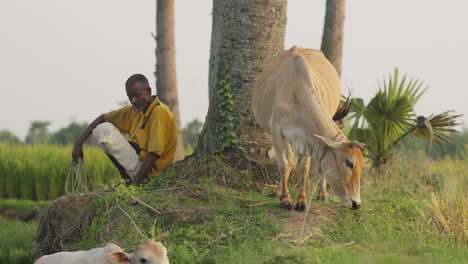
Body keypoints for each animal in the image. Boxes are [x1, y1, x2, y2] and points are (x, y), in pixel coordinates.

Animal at [252, 45, 366, 210]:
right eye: (349, 163)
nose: (356, 203)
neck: (297, 95)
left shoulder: (308, 137)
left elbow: (304, 168)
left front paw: (301, 201)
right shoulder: (277, 131)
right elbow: (284, 165)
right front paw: (285, 199)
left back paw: (322, 194)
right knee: (290, 161)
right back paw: (278, 192)